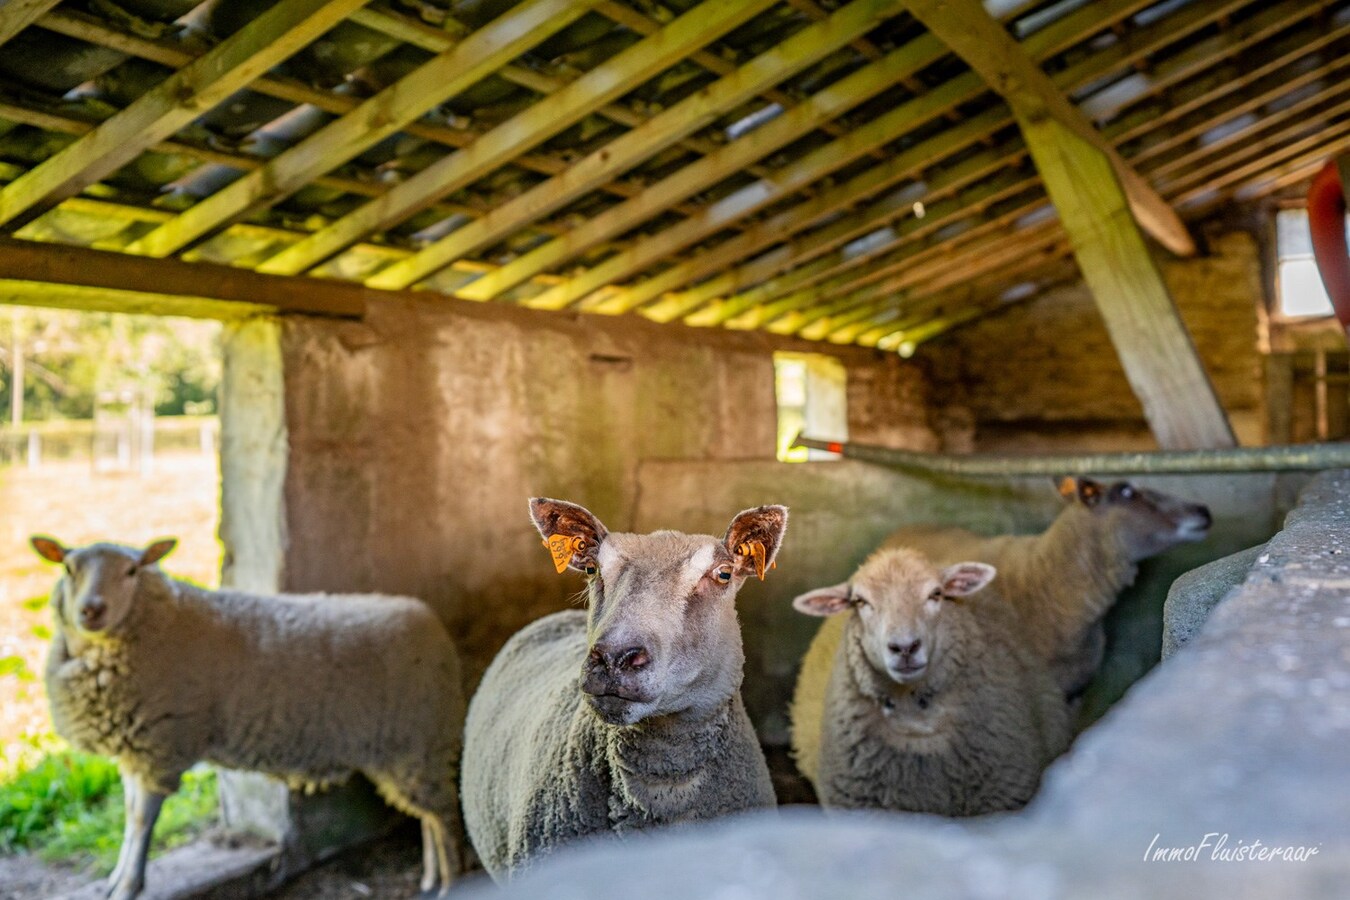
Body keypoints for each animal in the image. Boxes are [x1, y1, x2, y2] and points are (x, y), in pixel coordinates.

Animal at [30, 539, 469, 895]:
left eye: (132, 571)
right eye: (68, 568)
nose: (91, 610)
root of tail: (430, 622)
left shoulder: (162, 748)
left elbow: (140, 822)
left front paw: (129, 886)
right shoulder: (136, 752)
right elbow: (128, 815)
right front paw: (116, 879)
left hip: (417, 741)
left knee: (446, 816)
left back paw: (450, 882)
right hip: (411, 751)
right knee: (428, 815)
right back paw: (431, 878)